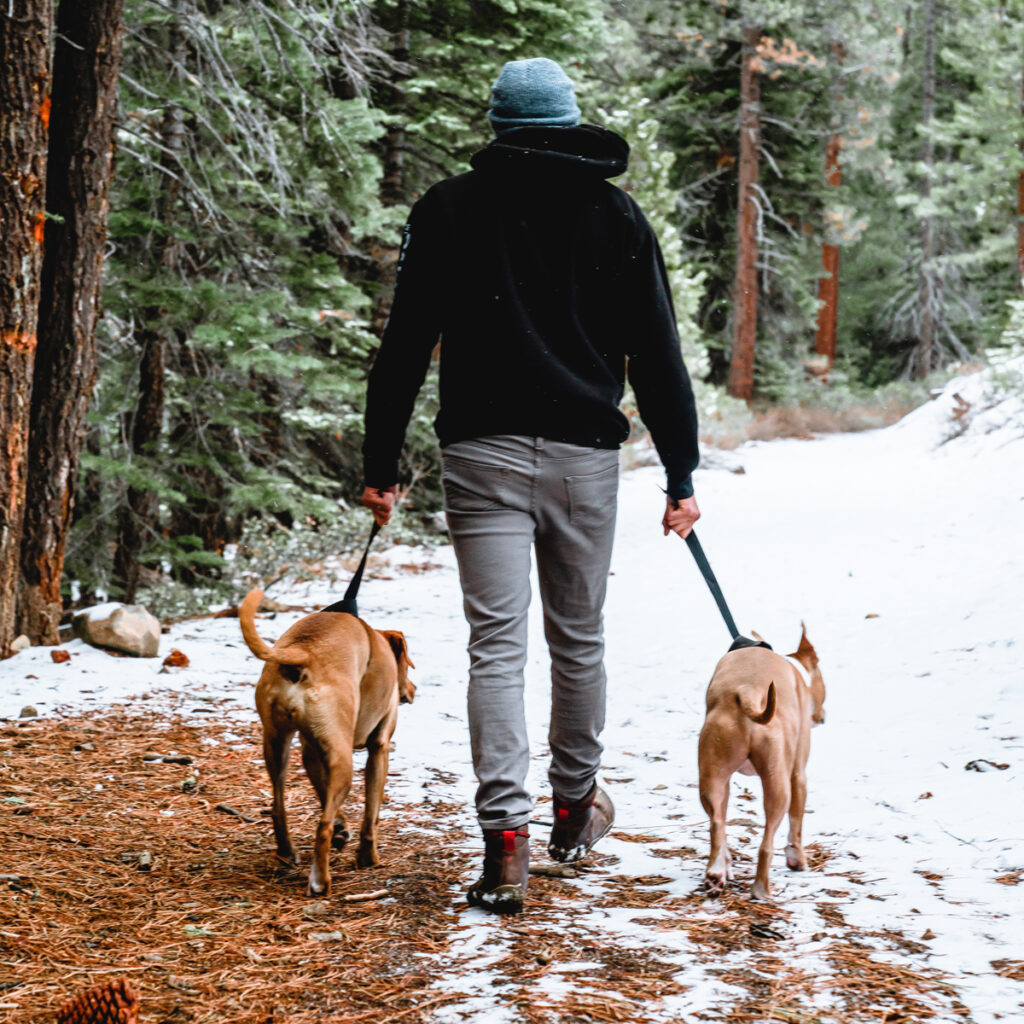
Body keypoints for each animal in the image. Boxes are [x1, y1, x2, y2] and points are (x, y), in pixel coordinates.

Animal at [238, 593, 411, 897]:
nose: (412, 690)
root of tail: (304, 651)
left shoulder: (312, 752)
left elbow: (323, 791)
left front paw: (344, 828)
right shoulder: (379, 749)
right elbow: (371, 814)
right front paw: (368, 857)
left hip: (276, 744)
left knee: (279, 806)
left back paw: (288, 852)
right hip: (344, 761)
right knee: (322, 826)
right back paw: (320, 880)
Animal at [696, 626, 823, 901]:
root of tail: (748, 692)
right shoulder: (798, 776)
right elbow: (796, 825)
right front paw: (797, 860)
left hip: (713, 774)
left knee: (717, 824)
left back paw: (717, 873)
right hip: (779, 785)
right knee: (766, 844)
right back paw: (761, 891)